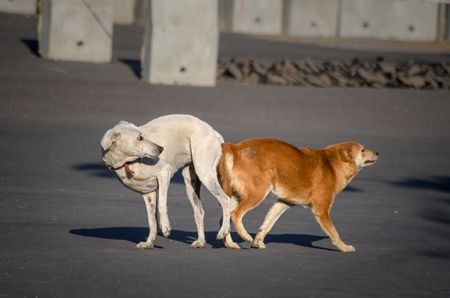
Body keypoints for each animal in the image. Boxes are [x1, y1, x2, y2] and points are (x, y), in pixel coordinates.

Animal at [100, 114, 230, 249]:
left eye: (143, 136)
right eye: (140, 138)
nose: (161, 148)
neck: (127, 163)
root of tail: (214, 132)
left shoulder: (164, 173)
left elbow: (161, 205)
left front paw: (165, 227)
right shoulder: (147, 193)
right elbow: (152, 221)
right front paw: (149, 243)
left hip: (205, 174)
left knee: (226, 199)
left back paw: (224, 231)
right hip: (190, 183)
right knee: (199, 212)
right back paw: (200, 241)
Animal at [216, 138, 378, 251]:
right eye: (362, 150)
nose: (377, 152)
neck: (332, 165)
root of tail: (234, 147)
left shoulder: (283, 203)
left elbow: (267, 225)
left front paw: (258, 242)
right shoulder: (321, 210)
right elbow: (334, 233)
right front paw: (344, 248)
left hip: (236, 197)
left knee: (225, 218)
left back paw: (230, 243)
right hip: (257, 193)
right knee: (235, 214)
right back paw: (244, 236)